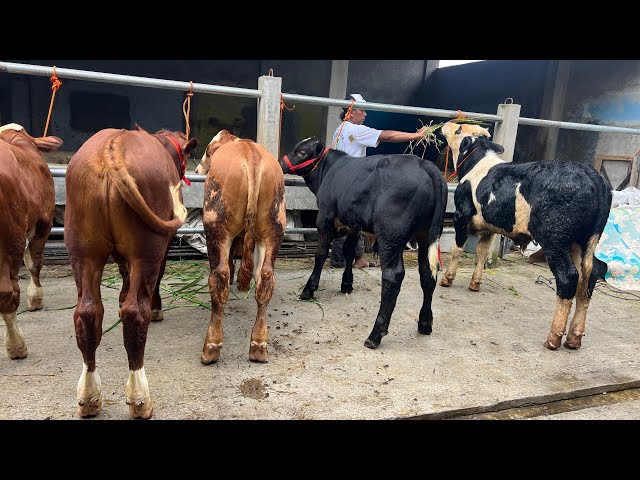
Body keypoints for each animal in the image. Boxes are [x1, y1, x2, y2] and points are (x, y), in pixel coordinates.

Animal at [0, 124, 63, 360]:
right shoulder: (44, 221)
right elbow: (34, 262)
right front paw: (36, 298)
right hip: (11, 240)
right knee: (7, 292)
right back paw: (16, 346)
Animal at [64, 126, 197, 419]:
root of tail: (112, 147)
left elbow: (124, 273)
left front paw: (122, 296)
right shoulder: (163, 245)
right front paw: (157, 308)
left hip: (83, 252)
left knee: (87, 313)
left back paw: (89, 396)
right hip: (147, 247)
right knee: (135, 313)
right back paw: (140, 398)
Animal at [199, 130, 286, 364]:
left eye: (207, 150)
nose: (199, 168)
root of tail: (251, 154)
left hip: (216, 226)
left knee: (219, 277)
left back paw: (211, 348)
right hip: (273, 228)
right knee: (265, 279)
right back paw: (258, 346)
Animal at [279, 136, 447, 349]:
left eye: (301, 152)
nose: (281, 163)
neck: (329, 170)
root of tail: (424, 164)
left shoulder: (324, 218)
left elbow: (321, 254)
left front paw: (309, 289)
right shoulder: (354, 224)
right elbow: (349, 251)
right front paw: (347, 283)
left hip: (390, 236)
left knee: (393, 276)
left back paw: (375, 334)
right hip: (427, 235)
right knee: (427, 274)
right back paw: (425, 323)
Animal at [438, 121, 612, 350]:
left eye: (459, 129)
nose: (447, 124)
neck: (478, 164)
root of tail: (591, 174)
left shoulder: (461, 216)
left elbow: (457, 249)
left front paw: (447, 279)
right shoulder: (489, 226)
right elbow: (482, 253)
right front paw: (475, 283)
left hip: (555, 239)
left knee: (568, 277)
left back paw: (553, 338)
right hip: (582, 241)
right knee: (589, 277)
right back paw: (574, 338)